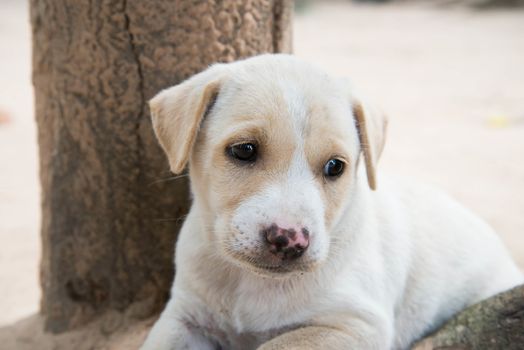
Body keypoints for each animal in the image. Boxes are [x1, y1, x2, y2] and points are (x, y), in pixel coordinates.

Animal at [140, 54, 524, 350]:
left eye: (335, 166)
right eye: (244, 150)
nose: (290, 239)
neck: (251, 282)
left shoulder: (355, 325)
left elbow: (277, 343)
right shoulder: (183, 316)